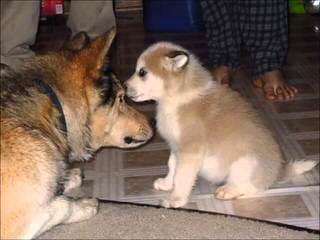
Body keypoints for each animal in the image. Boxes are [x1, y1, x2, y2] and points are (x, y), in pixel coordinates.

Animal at [0, 27, 154, 238]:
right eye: (121, 99)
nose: (153, 121)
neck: (56, 110)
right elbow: (62, 206)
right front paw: (83, 205)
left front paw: (65, 179)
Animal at [126, 42, 318, 208]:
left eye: (142, 72)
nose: (125, 87)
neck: (177, 98)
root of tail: (278, 172)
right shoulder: (176, 147)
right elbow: (172, 166)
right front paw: (167, 184)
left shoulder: (190, 151)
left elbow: (181, 176)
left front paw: (176, 199)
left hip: (244, 163)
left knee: (252, 188)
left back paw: (228, 191)